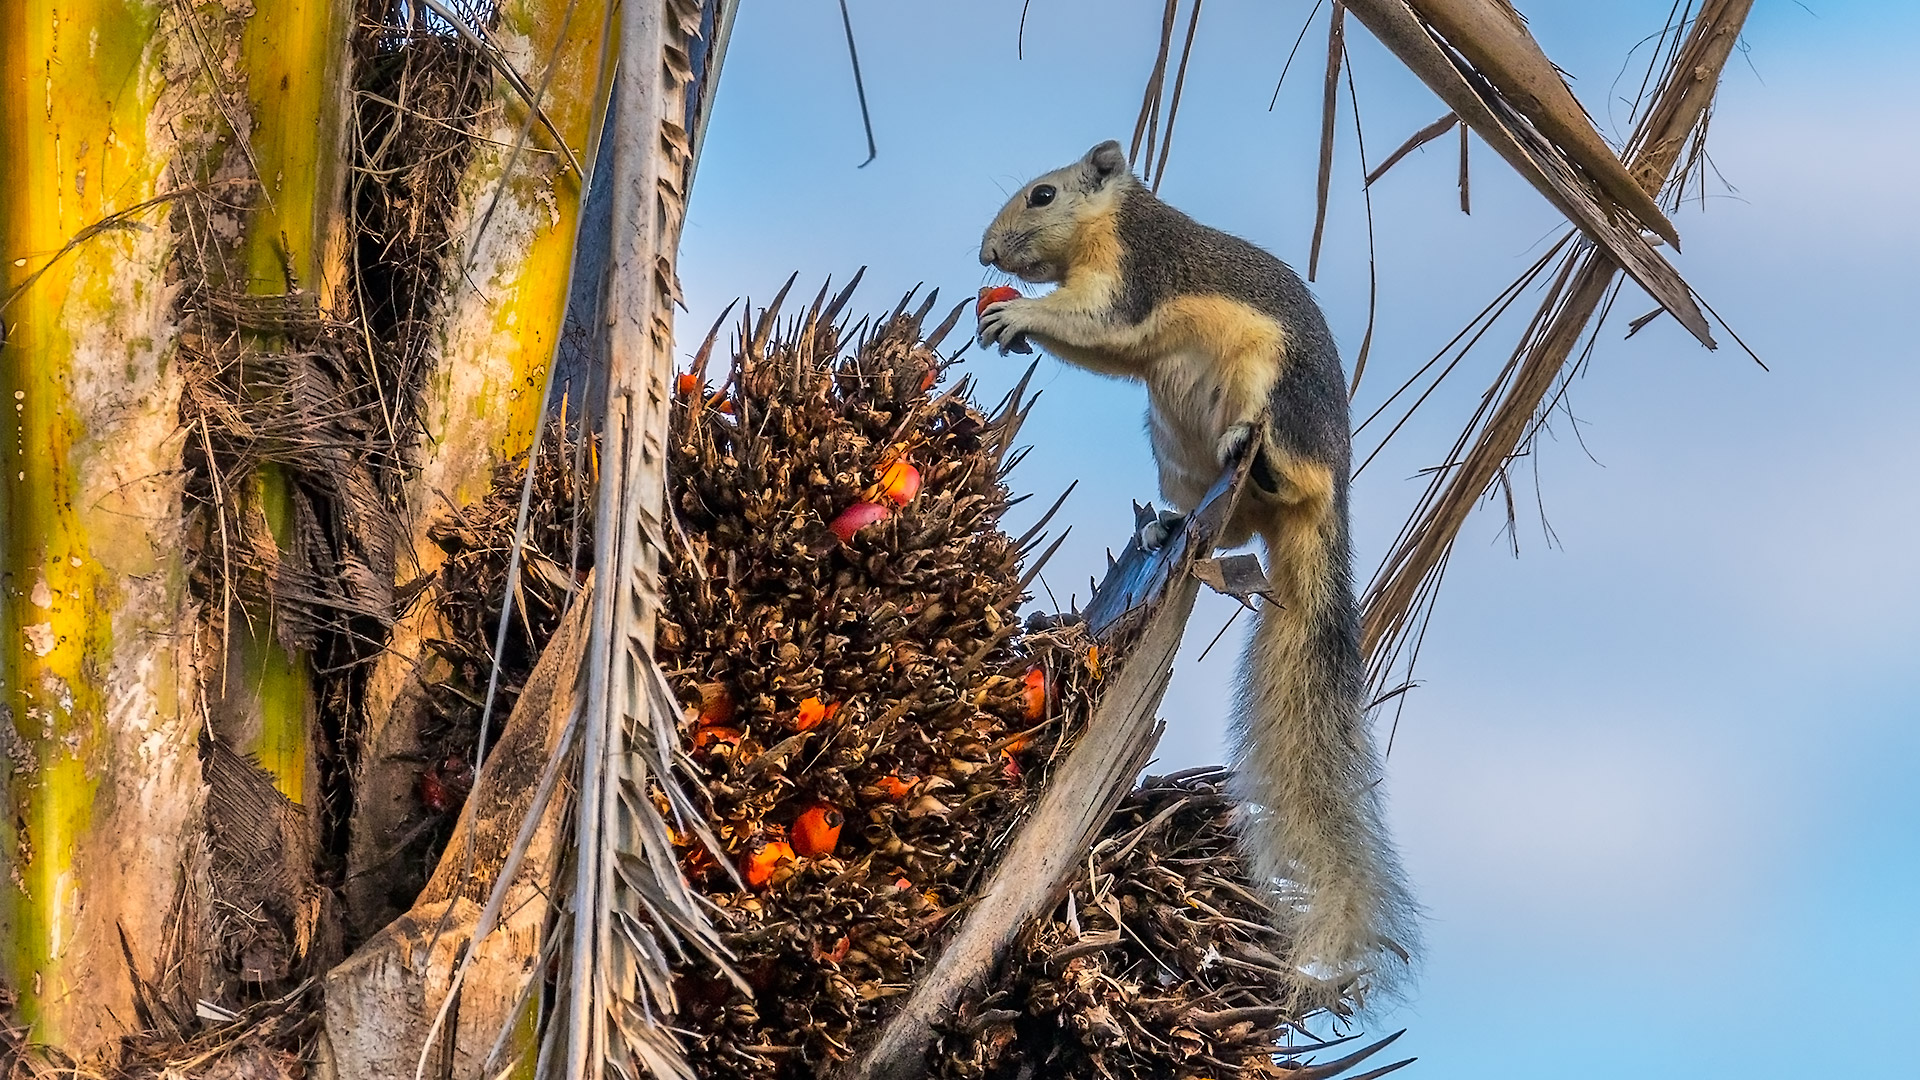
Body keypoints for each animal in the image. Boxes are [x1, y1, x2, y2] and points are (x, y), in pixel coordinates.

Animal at [983, 141, 1420, 999]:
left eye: (1042, 195)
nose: (986, 256)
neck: (1116, 221)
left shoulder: (1132, 279)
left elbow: (1095, 324)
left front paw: (1015, 314)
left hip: (1274, 395)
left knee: (1285, 472)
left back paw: (1267, 465)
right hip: (1175, 447)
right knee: (1224, 522)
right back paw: (1171, 527)